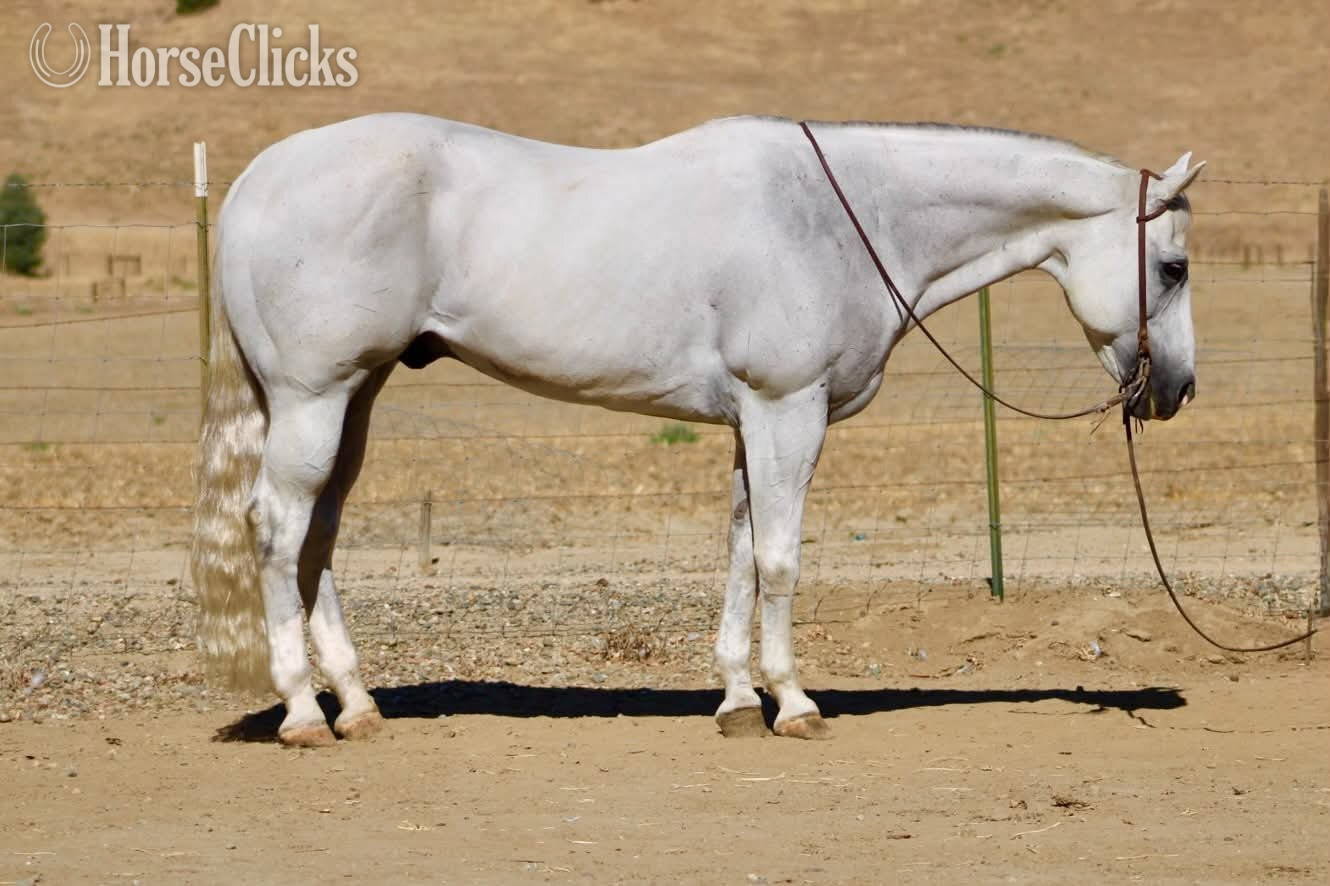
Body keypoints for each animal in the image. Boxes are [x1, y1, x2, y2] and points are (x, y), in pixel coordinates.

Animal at [190, 113, 1204, 747]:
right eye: (1175, 265)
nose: (1178, 390)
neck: (845, 215)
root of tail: (256, 181)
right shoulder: (788, 408)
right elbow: (782, 559)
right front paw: (792, 702)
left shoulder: (754, 420)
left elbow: (742, 551)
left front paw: (737, 699)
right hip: (314, 396)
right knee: (277, 529)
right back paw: (305, 714)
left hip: (353, 397)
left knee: (319, 535)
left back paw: (358, 704)